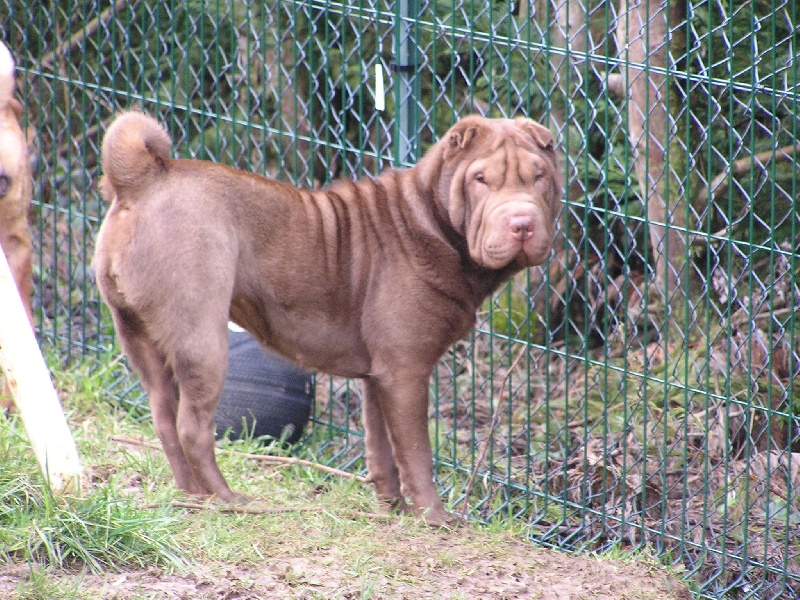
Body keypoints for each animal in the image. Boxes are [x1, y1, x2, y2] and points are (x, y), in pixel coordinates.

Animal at [94, 110, 560, 524]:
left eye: (539, 177)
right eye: (481, 179)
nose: (522, 222)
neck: (432, 220)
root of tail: (143, 177)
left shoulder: (381, 375)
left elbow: (382, 448)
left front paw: (392, 509)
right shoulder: (407, 370)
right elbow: (416, 452)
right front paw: (435, 517)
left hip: (138, 336)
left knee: (163, 418)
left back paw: (192, 495)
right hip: (203, 340)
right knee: (193, 427)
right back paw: (229, 499)